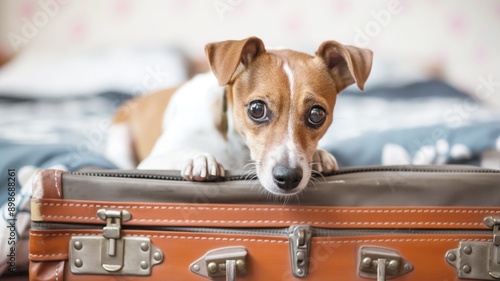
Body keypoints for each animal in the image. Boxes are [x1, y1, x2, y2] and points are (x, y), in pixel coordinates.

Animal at [105, 36, 372, 195]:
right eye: (256, 109)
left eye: (317, 114)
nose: (287, 178)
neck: (237, 146)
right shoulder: (150, 162)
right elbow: (184, 152)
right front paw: (199, 159)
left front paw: (319, 155)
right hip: (119, 142)